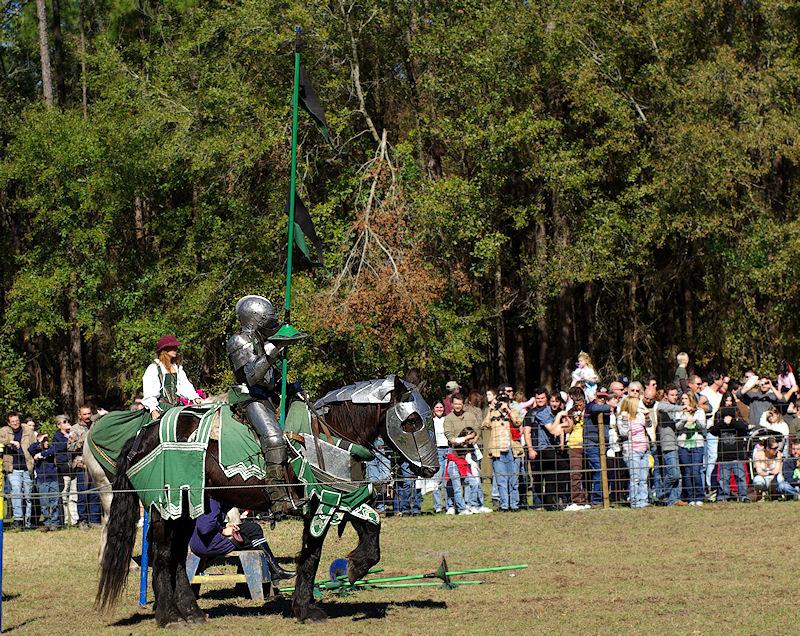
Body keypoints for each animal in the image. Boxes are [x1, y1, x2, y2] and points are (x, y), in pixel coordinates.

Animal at [97, 378, 440, 628]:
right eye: (412, 421)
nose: (431, 470)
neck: (333, 435)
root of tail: (142, 435)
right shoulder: (322, 503)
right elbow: (312, 555)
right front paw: (306, 609)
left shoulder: (343, 496)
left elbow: (370, 531)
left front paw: (353, 569)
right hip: (166, 508)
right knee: (164, 555)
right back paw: (169, 617)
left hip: (188, 507)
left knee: (180, 556)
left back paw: (191, 612)